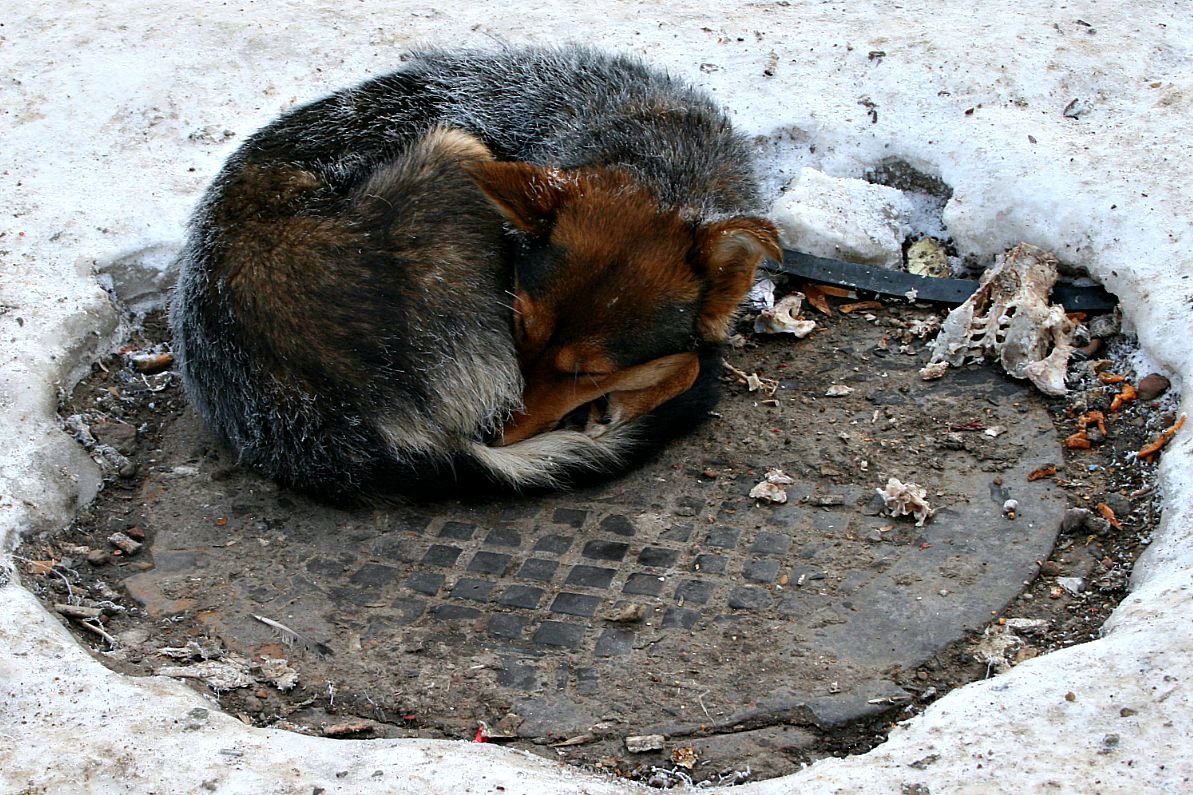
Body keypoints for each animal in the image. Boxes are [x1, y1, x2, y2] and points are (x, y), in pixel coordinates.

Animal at [170, 44, 782, 501]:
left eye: (585, 372)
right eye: (519, 327)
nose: (496, 432)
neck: (661, 153)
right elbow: (691, 361)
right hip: (457, 146)